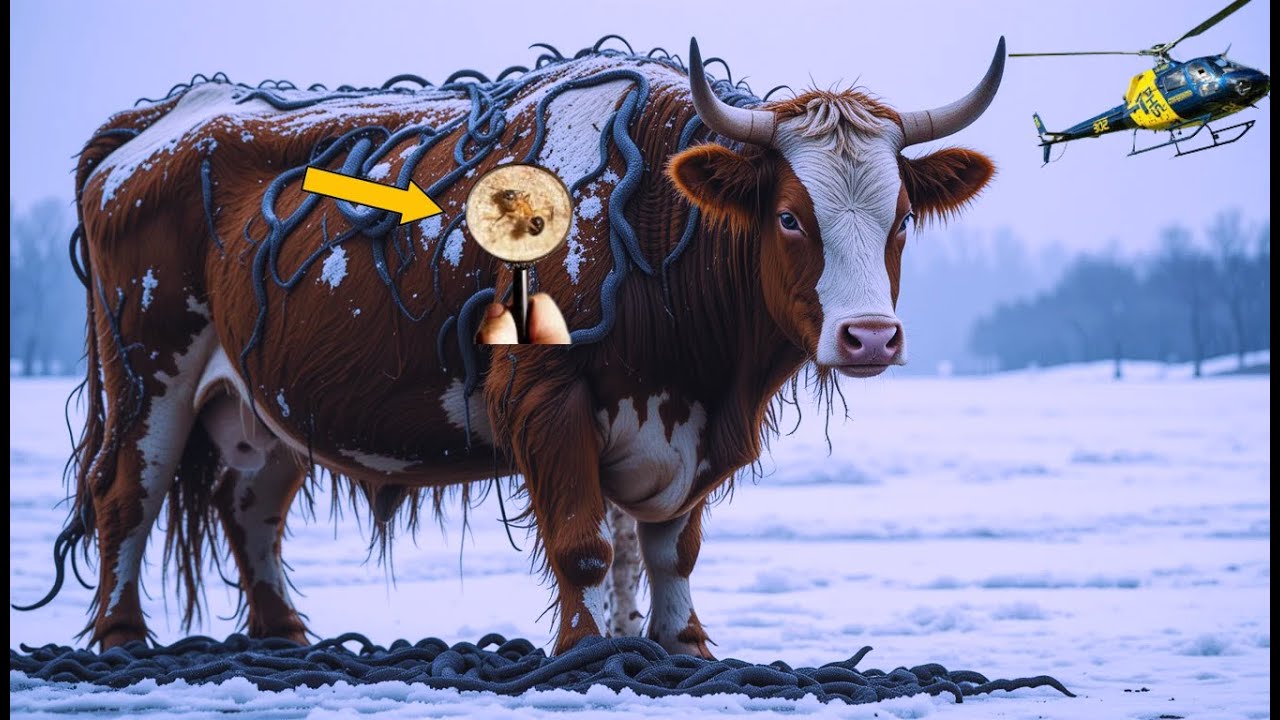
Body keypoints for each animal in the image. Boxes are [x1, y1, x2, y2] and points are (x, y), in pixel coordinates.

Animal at [32, 37, 1003, 655]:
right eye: (792, 217)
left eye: (901, 217)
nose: (869, 336)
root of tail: (171, 115)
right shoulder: (544, 391)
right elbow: (585, 543)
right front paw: (586, 651)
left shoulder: (683, 426)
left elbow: (669, 550)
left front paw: (681, 646)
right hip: (150, 370)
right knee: (127, 493)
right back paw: (122, 636)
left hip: (258, 400)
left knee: (251, 501)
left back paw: (285, 637)